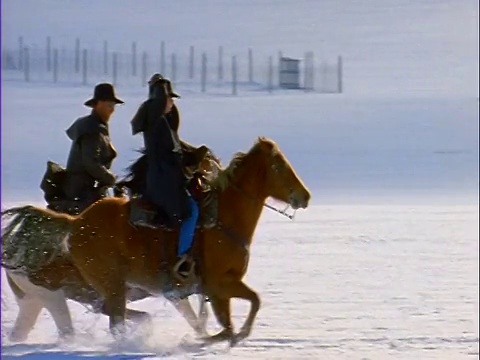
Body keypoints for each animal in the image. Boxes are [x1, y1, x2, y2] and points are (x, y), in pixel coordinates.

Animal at [1, 138, 310, 346]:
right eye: (278, 166)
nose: (304, 196)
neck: (223, 219)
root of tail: (75, 223)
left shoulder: (214, 288)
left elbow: (234, 313)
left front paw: (225, 336)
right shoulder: (218, 283)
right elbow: (242, 309)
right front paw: (227, 336)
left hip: (44, 300)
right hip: (91, 290)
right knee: (112, 323)